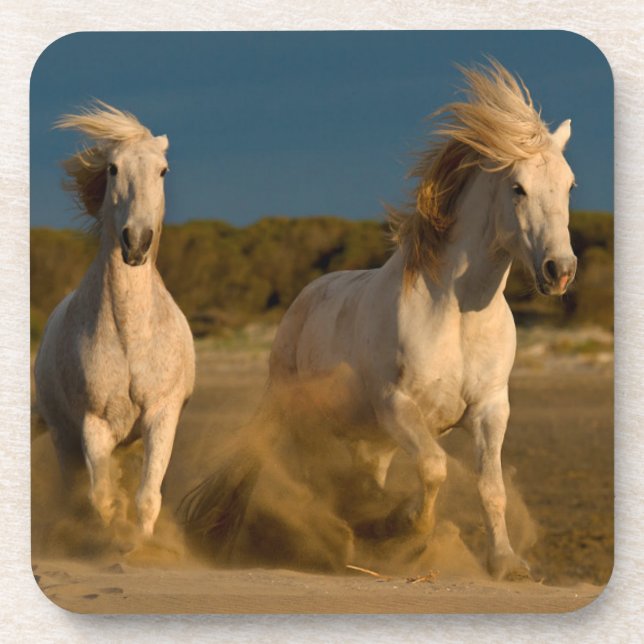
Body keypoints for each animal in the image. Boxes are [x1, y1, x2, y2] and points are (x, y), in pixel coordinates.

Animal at [34, 102, 195, 537]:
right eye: (112, 168)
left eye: (163, 170)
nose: (136, 242)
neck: (131, 335)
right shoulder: (95, 425)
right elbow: (103, 499)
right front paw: (114, 539)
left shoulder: (162, 416)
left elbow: (147, 498)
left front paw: (141, 545)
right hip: (64, 437)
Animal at [182, 60, 577, 579]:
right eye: (518, 188)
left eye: (570, 185)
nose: (560, 270)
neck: (456, 315)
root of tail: (304, 299)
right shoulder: (398, 406)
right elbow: (434, 468)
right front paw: (400, 531)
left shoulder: (491, 408)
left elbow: (491, 487)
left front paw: (506, 564)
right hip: (304, 418)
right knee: (302, 477)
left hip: (370, 441)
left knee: (359, 479)